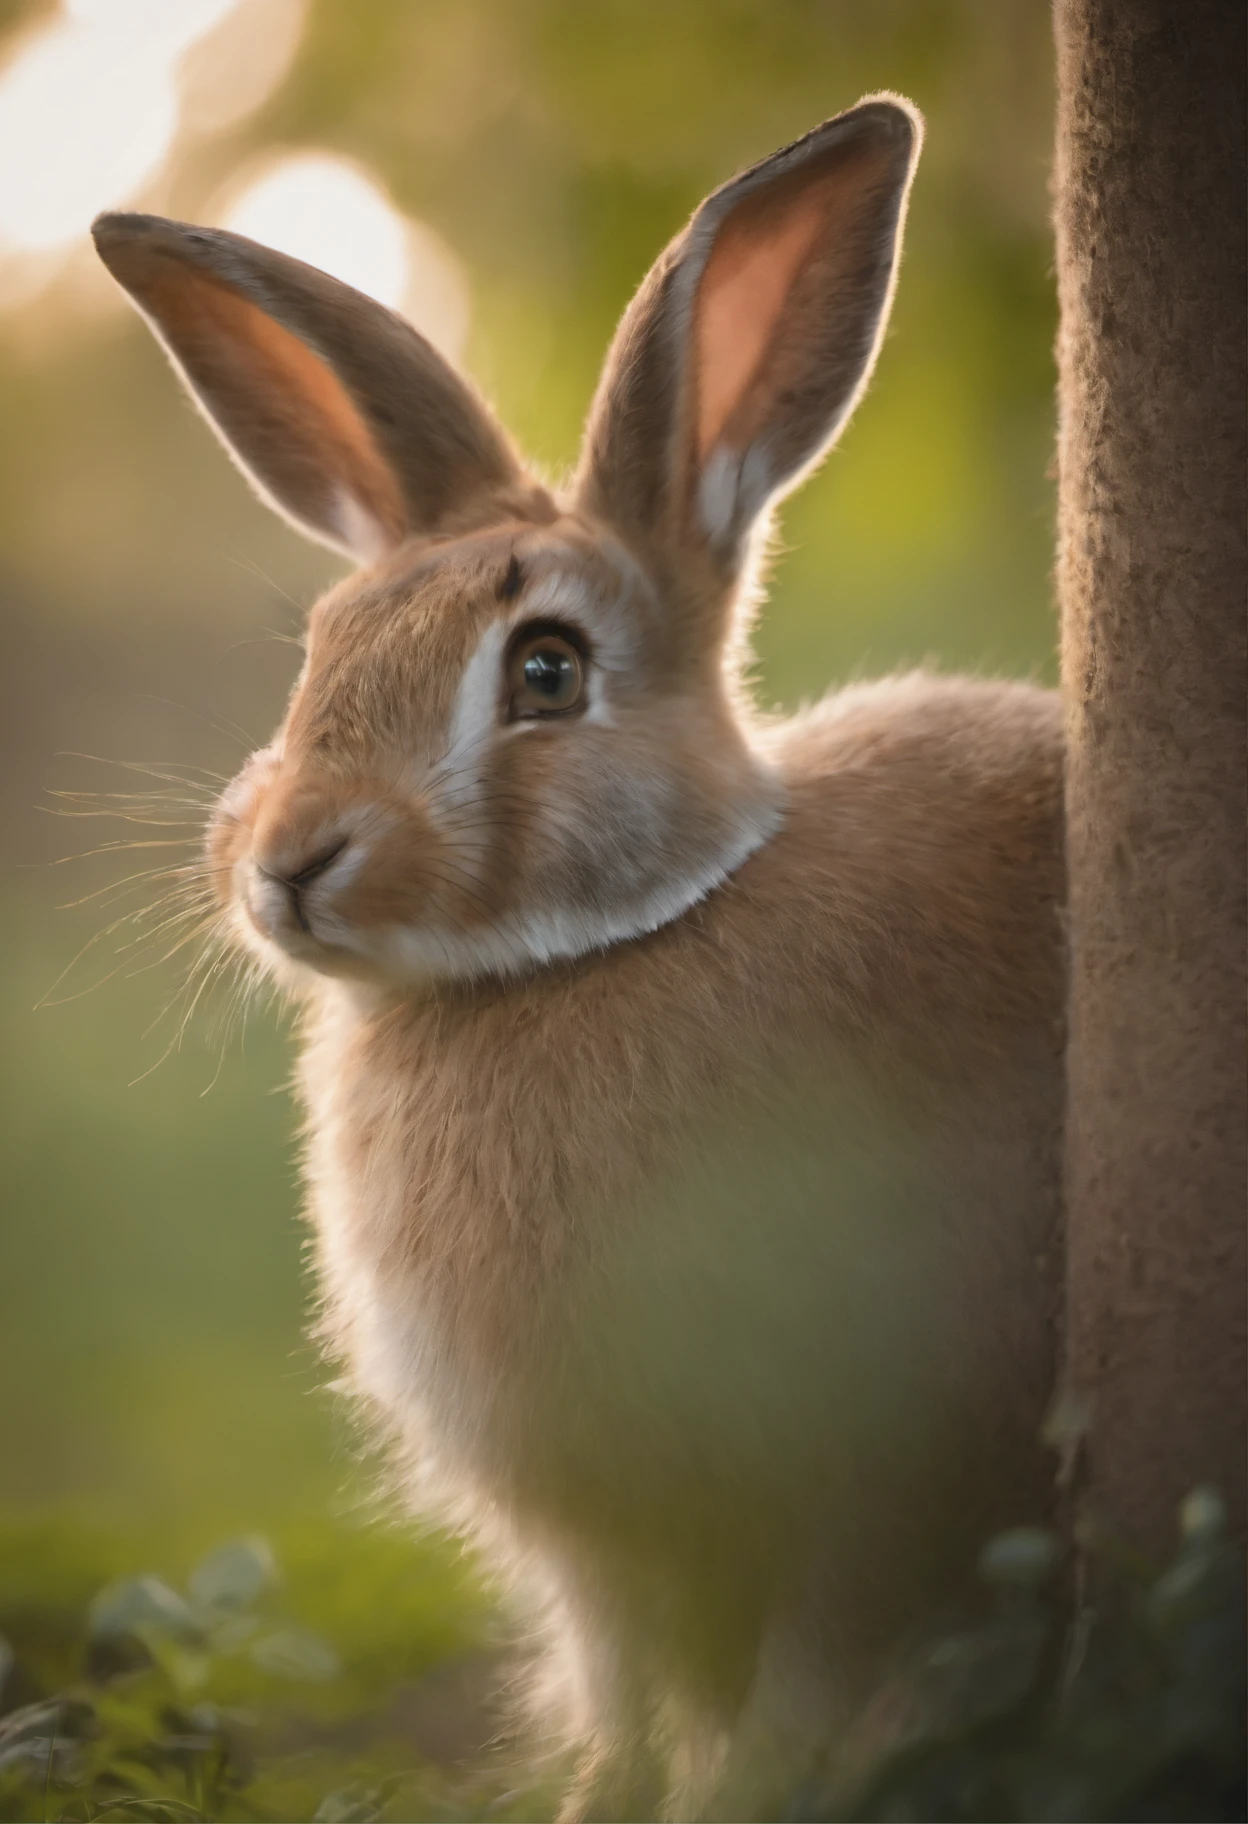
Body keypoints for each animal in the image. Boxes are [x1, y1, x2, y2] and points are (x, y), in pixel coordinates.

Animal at [92, 99, 1065, 1824]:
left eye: (547, 672)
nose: (289, 860)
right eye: (321, 651)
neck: (588, 954)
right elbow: (622, 1717)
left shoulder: (851, 1484)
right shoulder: (600, 1556)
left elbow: (791, 1705)